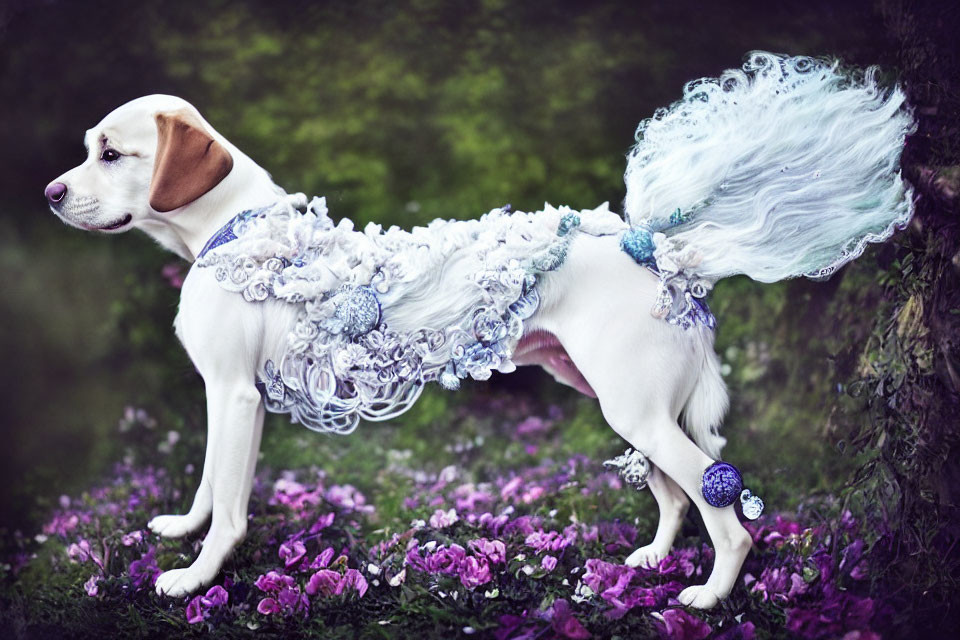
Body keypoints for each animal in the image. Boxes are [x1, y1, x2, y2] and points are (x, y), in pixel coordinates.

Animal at [45, 52, 916, 608]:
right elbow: (207, 486)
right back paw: (651, 562)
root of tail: (652, 248)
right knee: (676, 494)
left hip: (635, 411)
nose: (50, 193)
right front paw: (181, 532)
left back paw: (706, 595)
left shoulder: (232, 395)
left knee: (723, 511)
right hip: (629, 407)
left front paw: (196, 579)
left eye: (112, 153)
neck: (232, 234)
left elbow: (228, 505)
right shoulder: (231, 402)